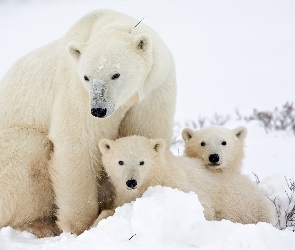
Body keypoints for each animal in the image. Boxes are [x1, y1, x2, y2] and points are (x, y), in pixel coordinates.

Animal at [0, 9, 176, 235]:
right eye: (87, 77)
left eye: (116, 74)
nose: (98, 110)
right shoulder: (77, 92)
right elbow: (79, 143)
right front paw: (80, 226)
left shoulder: (154, 91)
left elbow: (145, 133)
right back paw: (40, 226)